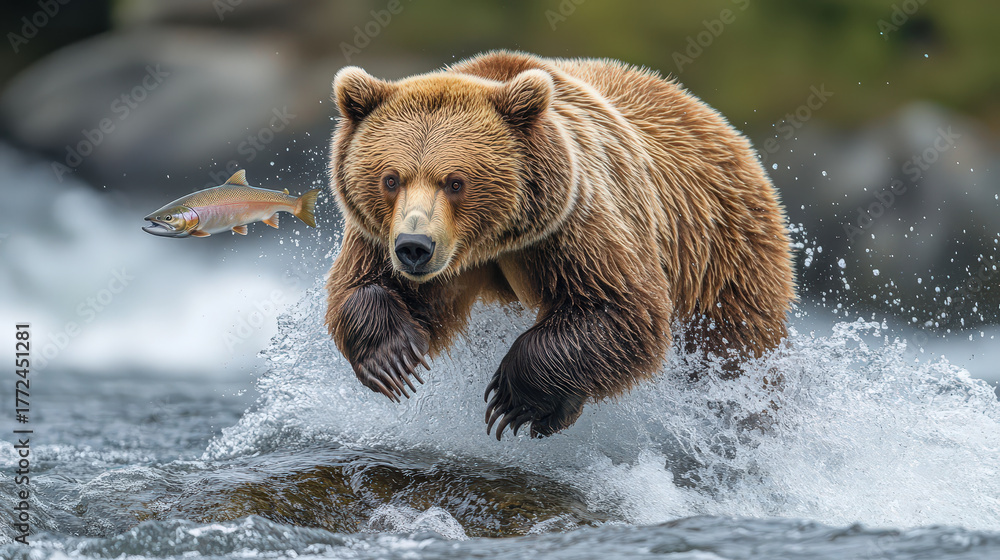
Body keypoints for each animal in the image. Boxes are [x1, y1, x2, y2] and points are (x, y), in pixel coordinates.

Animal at [324, 50, 795, 440]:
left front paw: (513, 400)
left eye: (455, 182)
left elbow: (622, 309)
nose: (414, 246)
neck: (492, 240)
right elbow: (362, 286)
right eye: (391, 178)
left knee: (733, 353)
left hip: (722, 259)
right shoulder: (386, 238)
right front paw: (393, 357)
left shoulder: (575, 222)